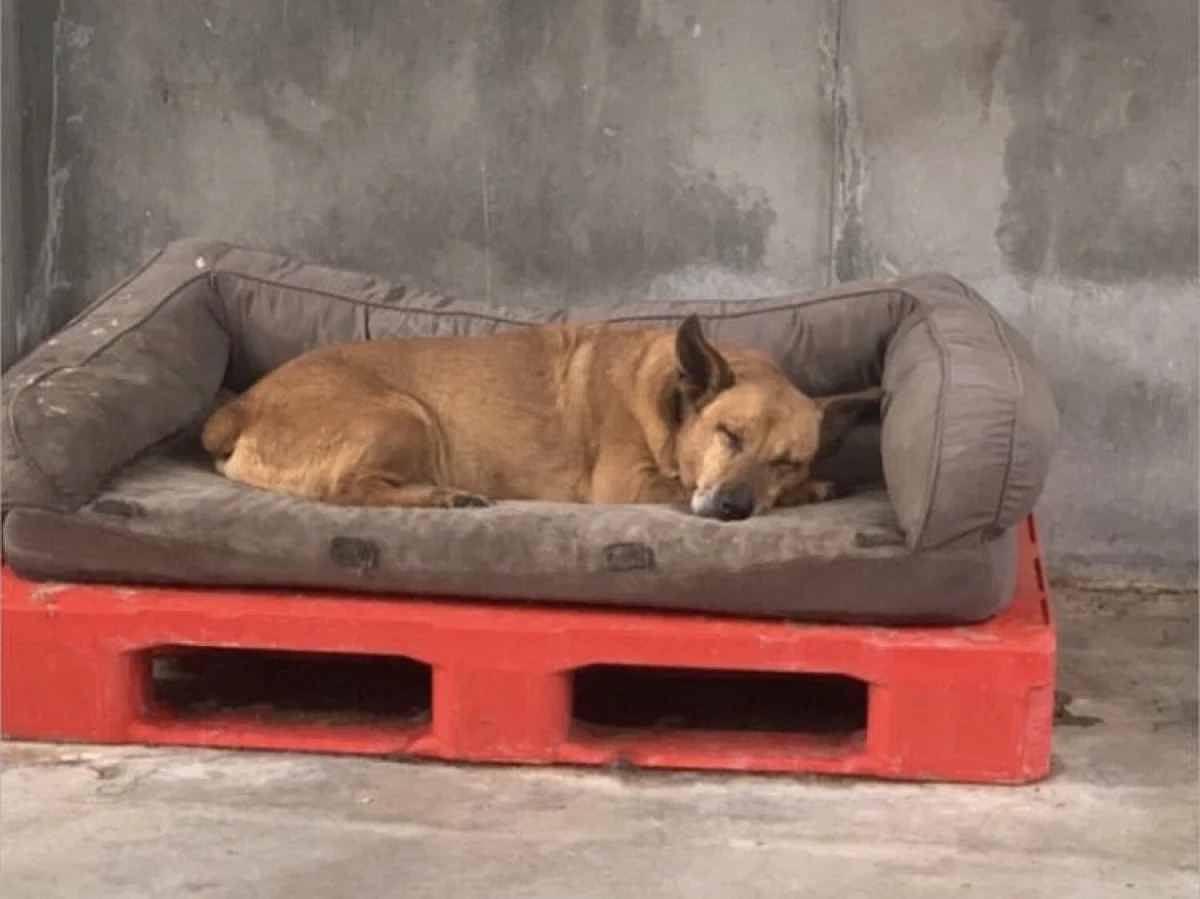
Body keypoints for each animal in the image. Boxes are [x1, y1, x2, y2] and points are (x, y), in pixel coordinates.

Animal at [201, 315, 880, 521]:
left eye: (786, 460)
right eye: (728, 435)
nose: (735, 509)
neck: (669, 399)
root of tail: (242, 405)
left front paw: (808, 487)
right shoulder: (629, 486)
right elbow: (681, 487)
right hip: (404, 415)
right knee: (346, 490)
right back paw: (443, 497)